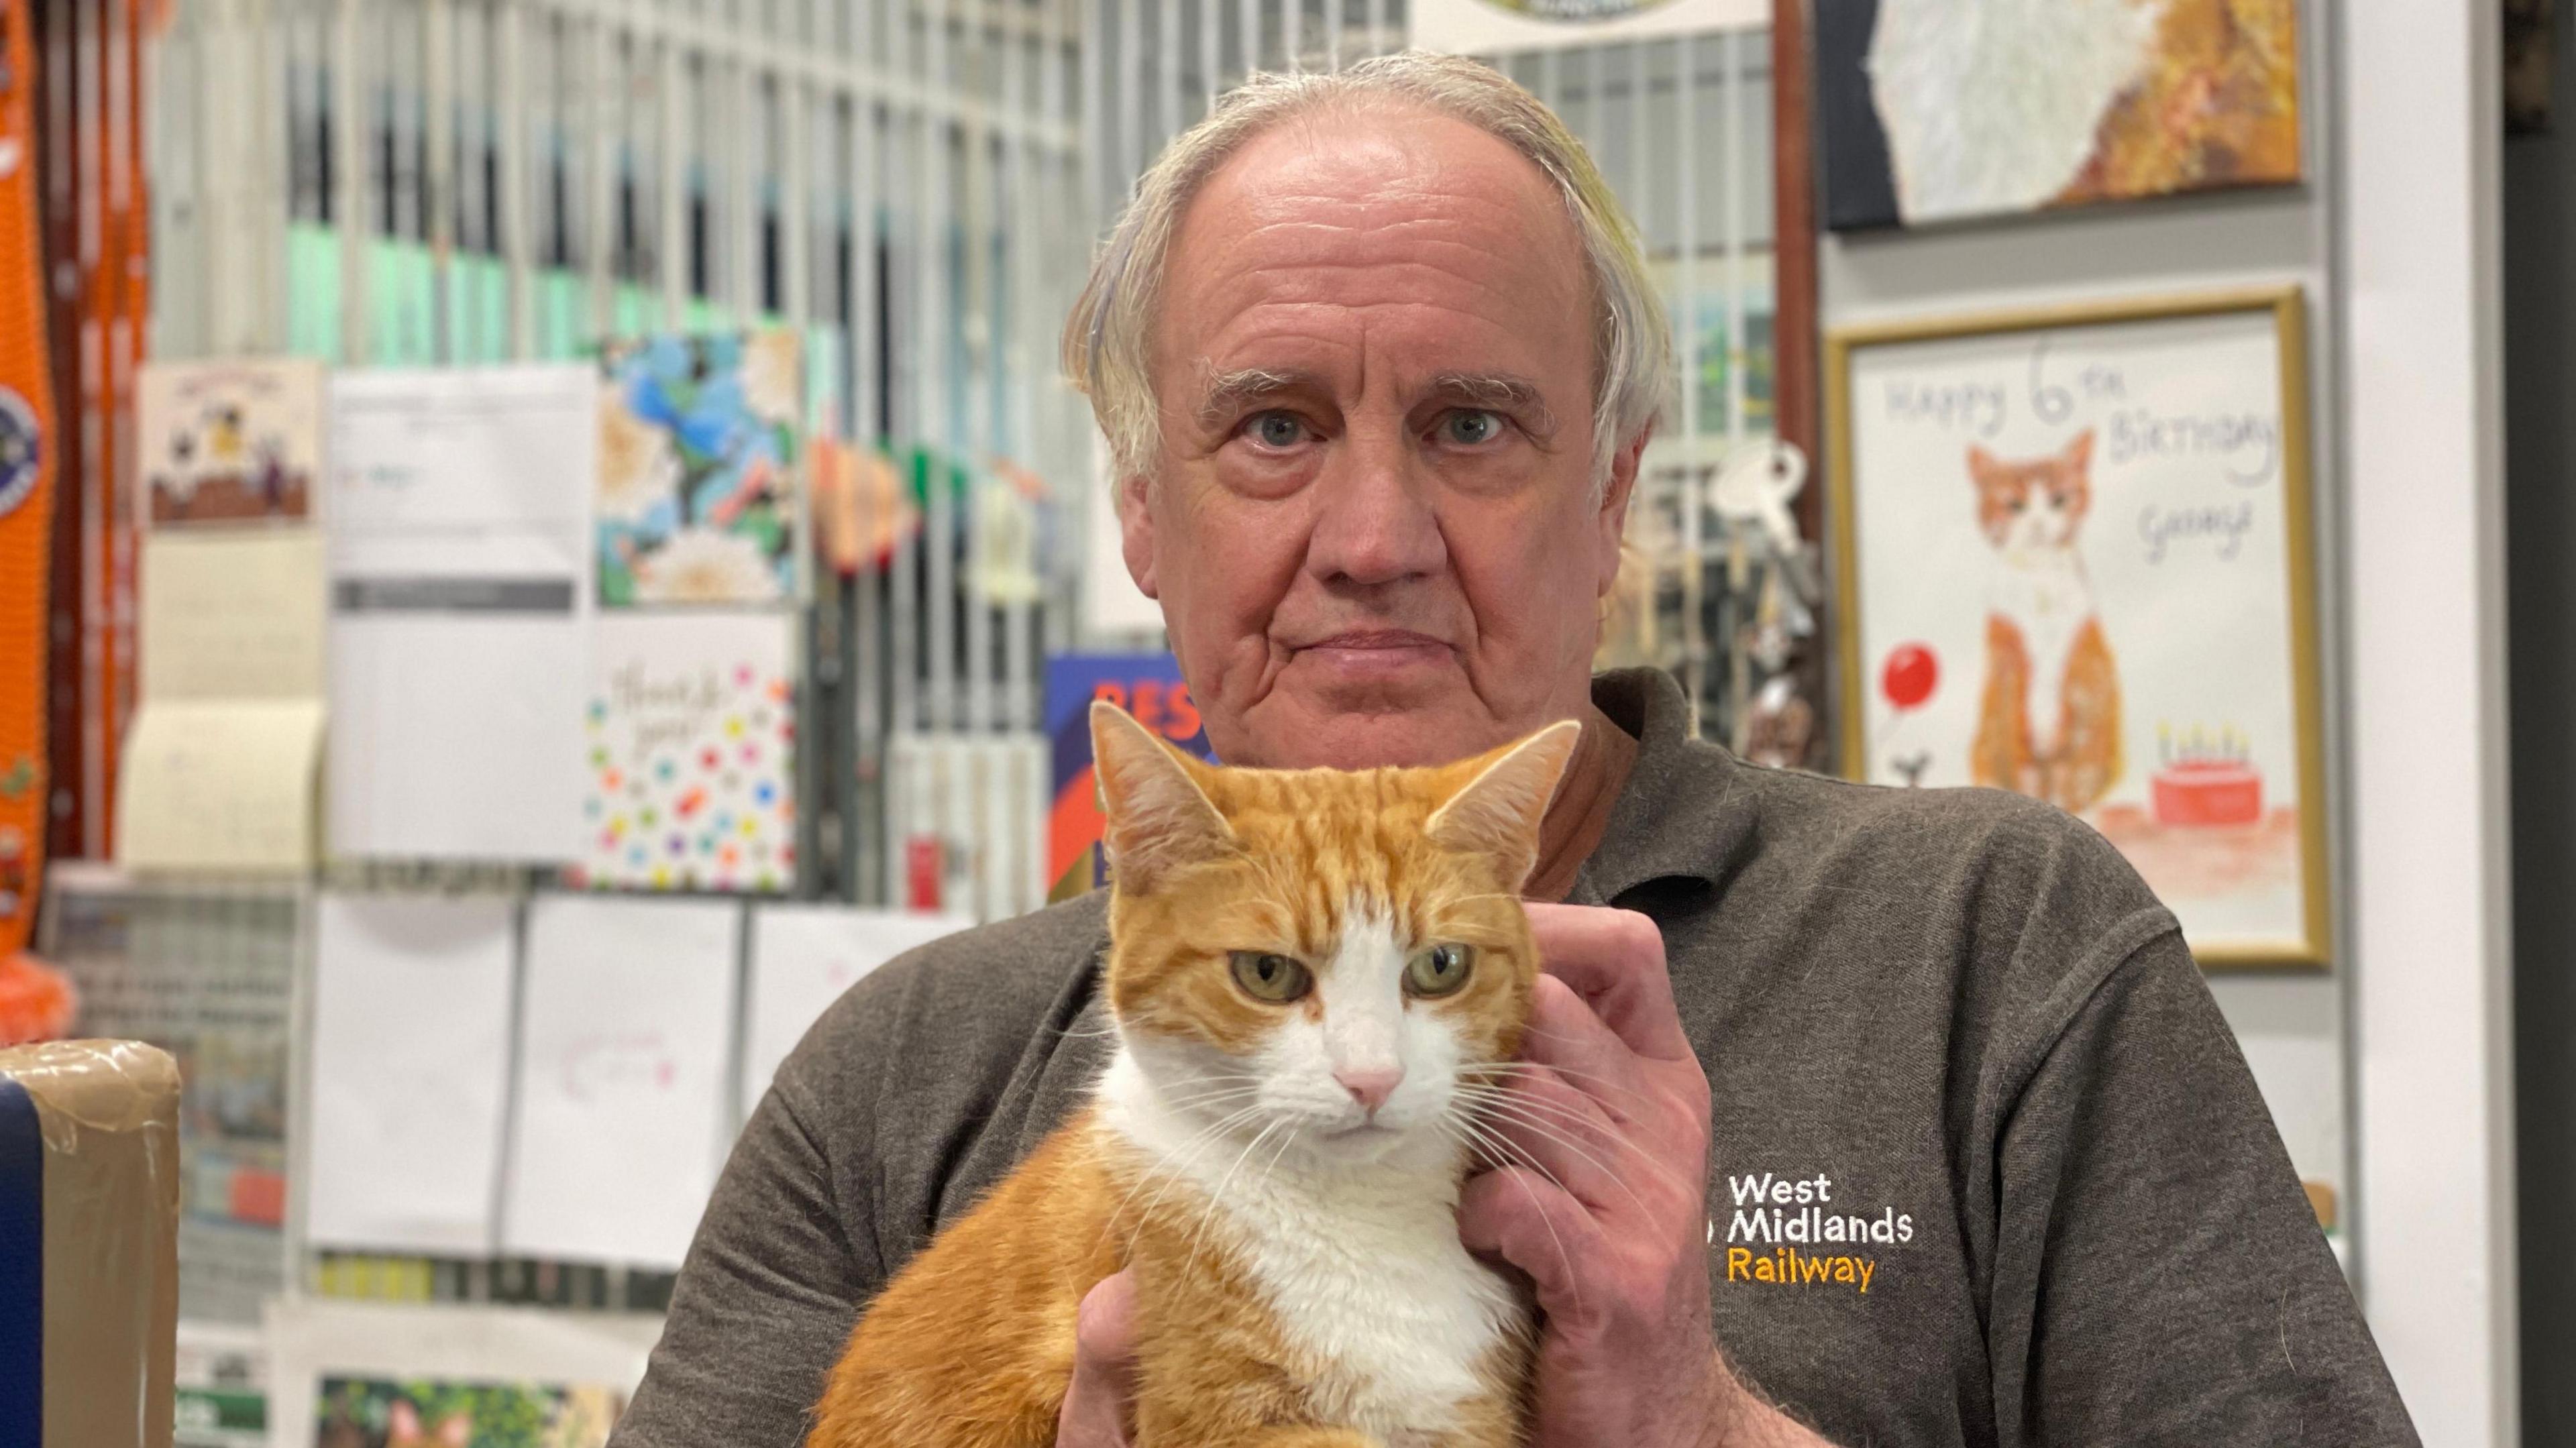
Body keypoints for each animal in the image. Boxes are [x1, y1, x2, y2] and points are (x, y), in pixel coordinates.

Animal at [1957, 425, 2123, 814]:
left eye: (2059, 500)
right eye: (2014, 505)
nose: (2037, 523)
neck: (2041, 579)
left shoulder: (2078, 662)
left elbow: (2067, 769)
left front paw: (2063, 805)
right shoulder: (2010, 665)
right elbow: (2021, 757)